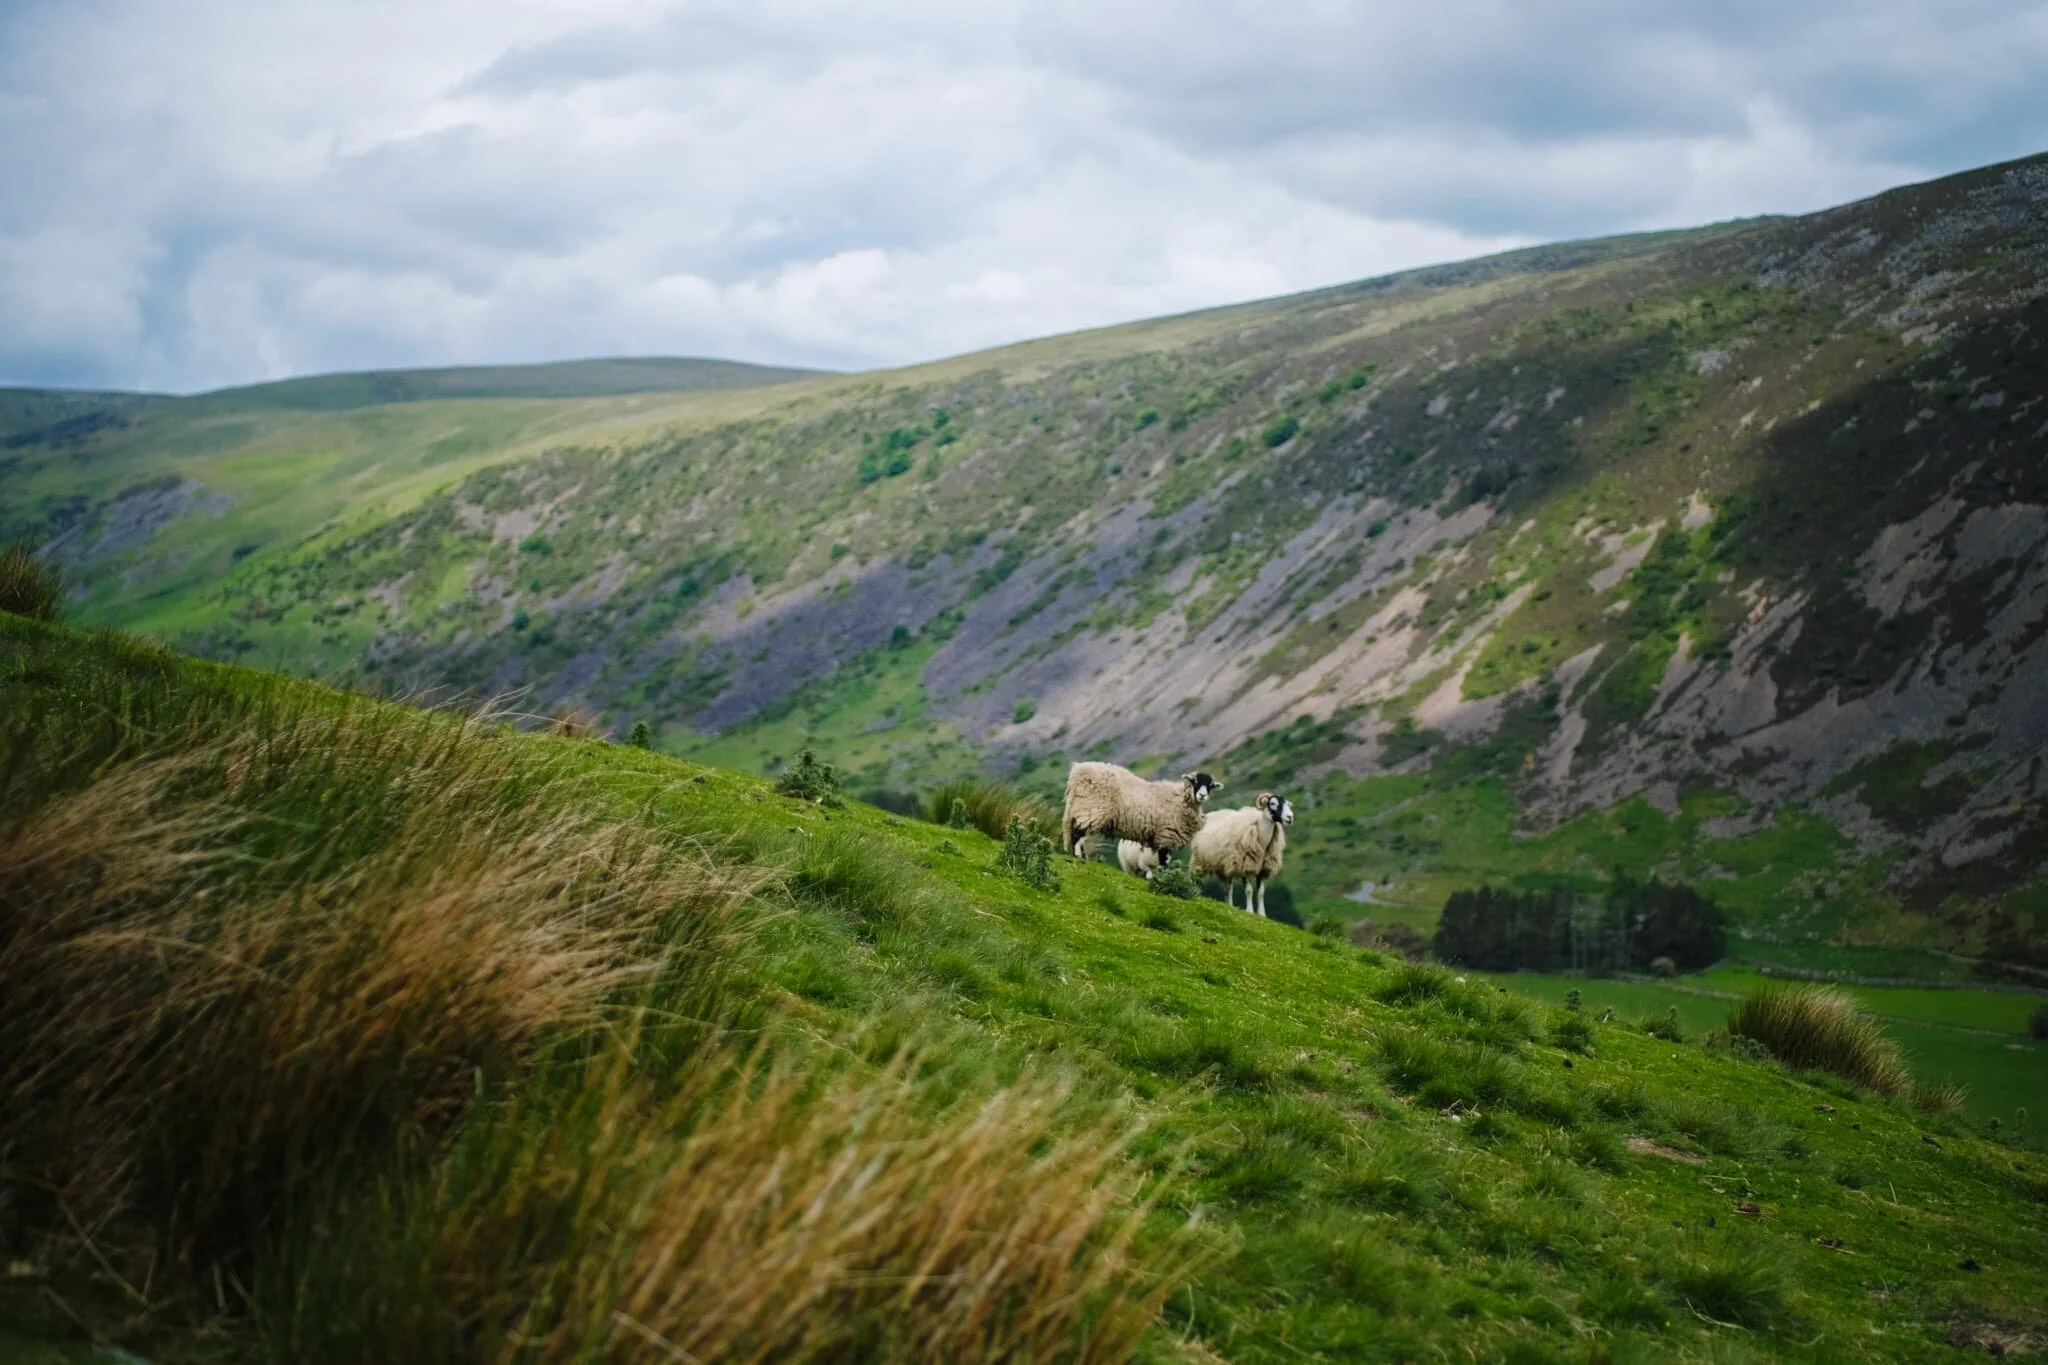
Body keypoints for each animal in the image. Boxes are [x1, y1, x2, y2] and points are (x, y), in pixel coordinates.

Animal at [1061, 762, 1221, 861]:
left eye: (1210, 786)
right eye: (1194, 781)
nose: (1202, 795)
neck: (1181, 799)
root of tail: (1077, 771)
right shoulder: (1167, 835)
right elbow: (1164, 861)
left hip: (1080, 808)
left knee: (1075, 831)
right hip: (1092, 809)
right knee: (1079, 832)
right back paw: (1079, 855)